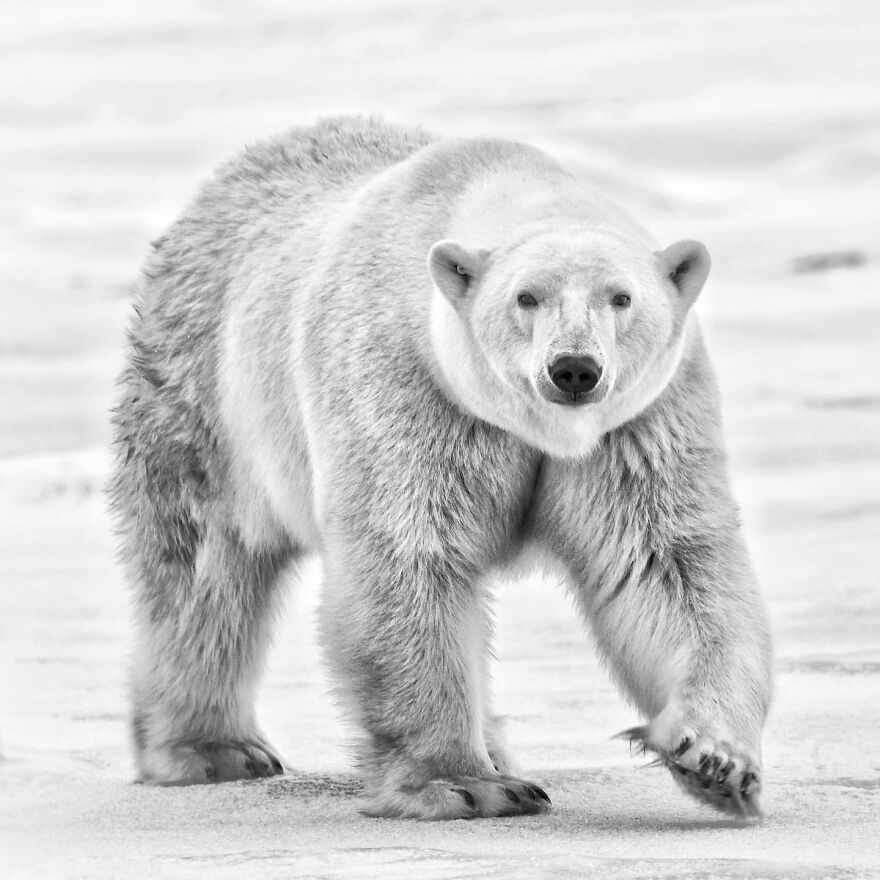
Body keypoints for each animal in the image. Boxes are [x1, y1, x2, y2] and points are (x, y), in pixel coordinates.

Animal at [110, 116, 772, 820]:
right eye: (525, 298)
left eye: (621, 298)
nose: (573, 368)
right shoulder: (407, 387)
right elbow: (410, 558)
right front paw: (467, 783)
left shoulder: (640, 427)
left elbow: (666, 565)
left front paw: (715, 761)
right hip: (204, 393)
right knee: (203, 569)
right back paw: (214, 749)